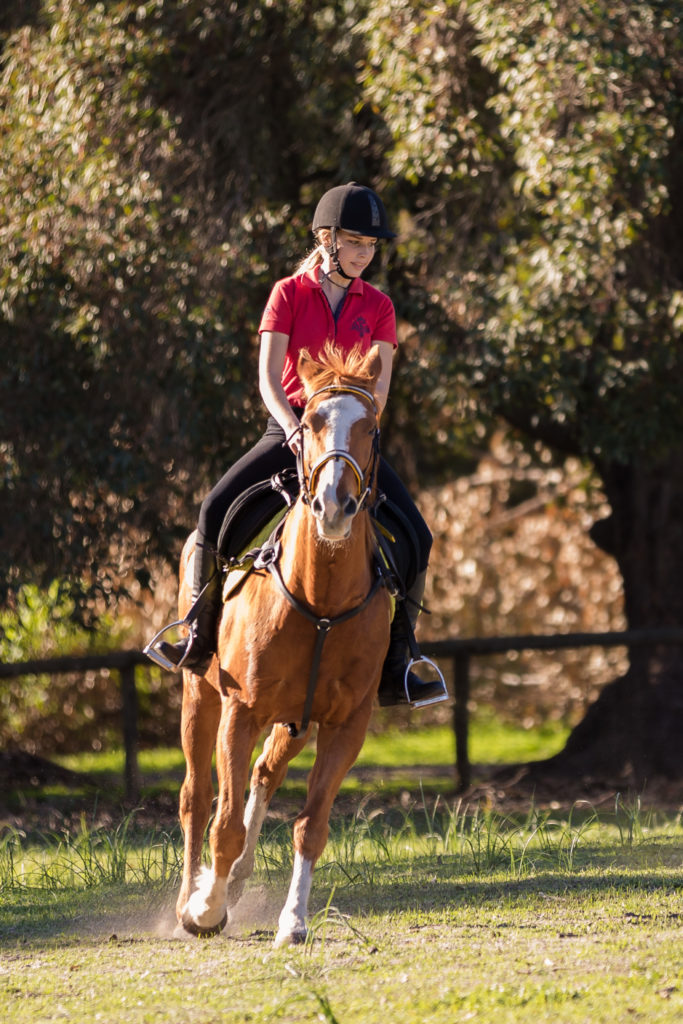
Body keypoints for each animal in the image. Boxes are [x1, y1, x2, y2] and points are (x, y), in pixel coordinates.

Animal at [175, 344, 389, 942]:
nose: (334, 506)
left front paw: (293, 921)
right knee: (196, 797)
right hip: (200, 697)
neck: (321, 603)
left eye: (370, 427)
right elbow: (222, 823)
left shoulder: (345, 725)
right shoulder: (240, 712)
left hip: (297, 718)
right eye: (311, 421)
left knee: (265, 774)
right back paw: (192, 896)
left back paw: (236, 881)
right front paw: (204, 909)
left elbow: (311, 826)